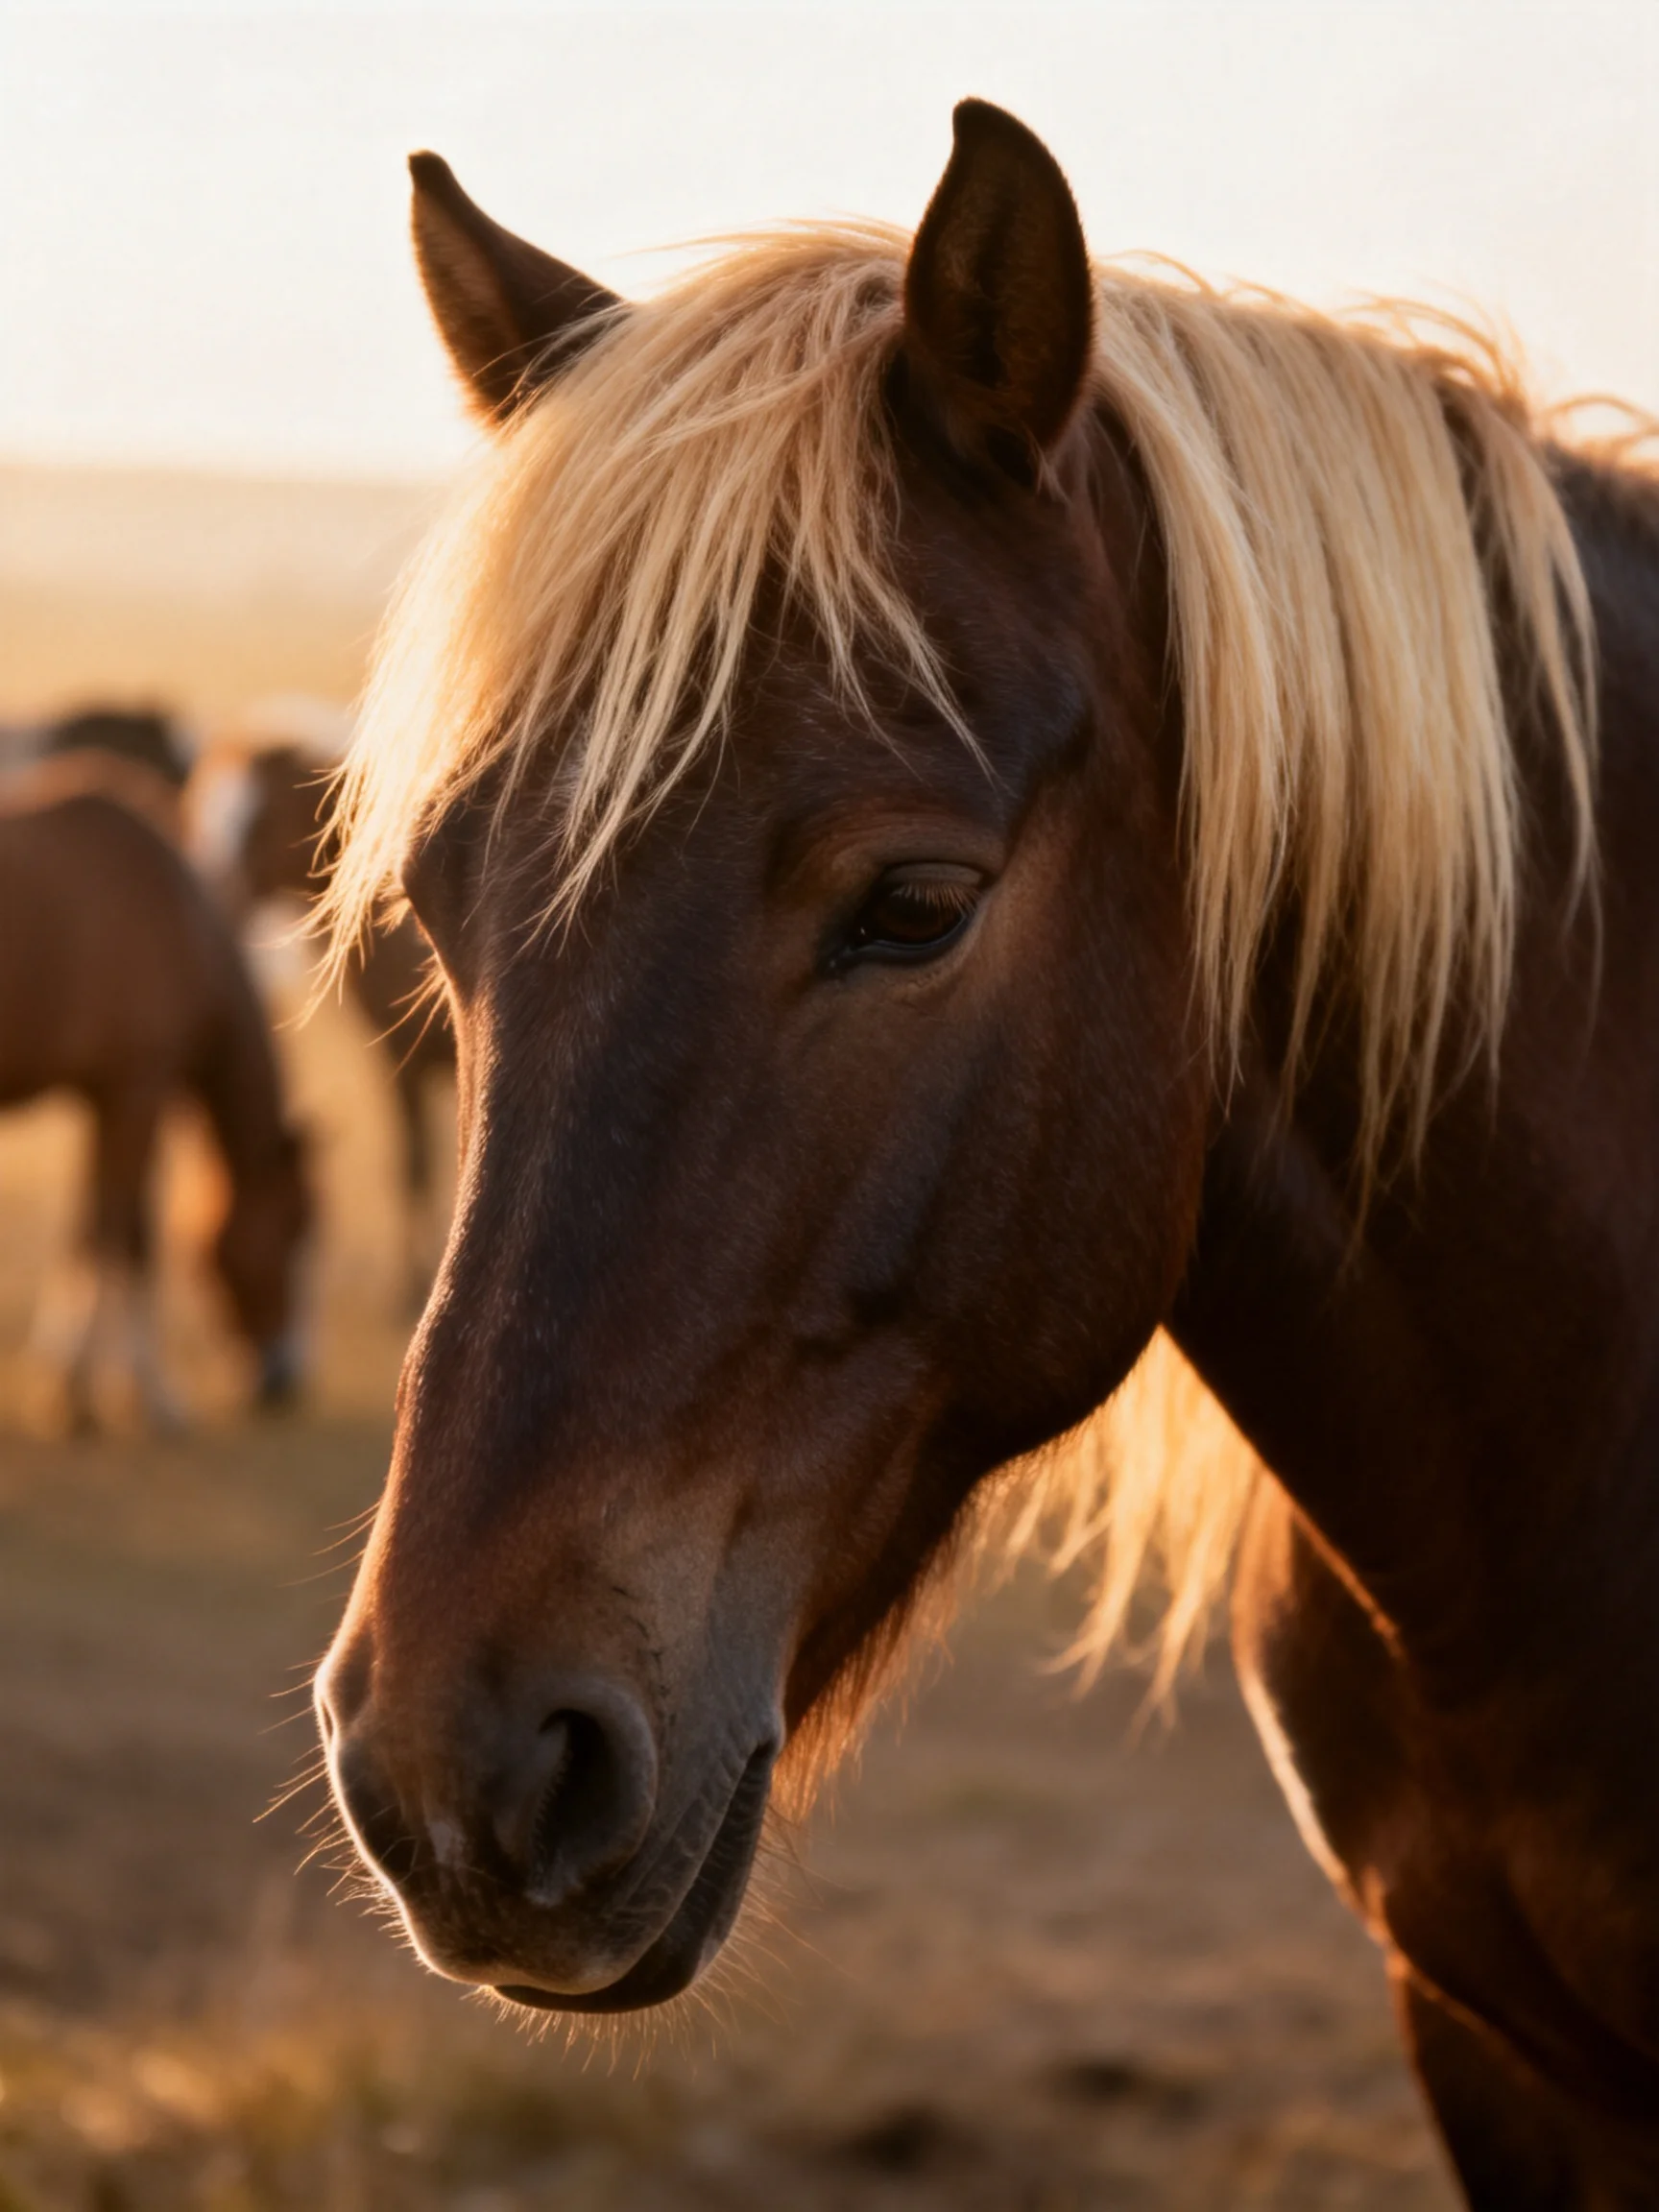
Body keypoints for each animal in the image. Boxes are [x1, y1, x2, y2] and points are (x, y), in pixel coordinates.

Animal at [0, 779, 313, 1429]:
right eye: (294, 1225)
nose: (282, 1377)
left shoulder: (101, 1100)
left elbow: (90, 1232)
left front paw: (77, 1383)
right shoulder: (137, 1092)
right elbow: (125, 1236)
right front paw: (141, 1396)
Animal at [188, 718, 454, 1309]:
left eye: (261, 821)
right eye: (206, 814)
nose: (212, 900)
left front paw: (415, 1283)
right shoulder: (404, 1062)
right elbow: (414, 1163)